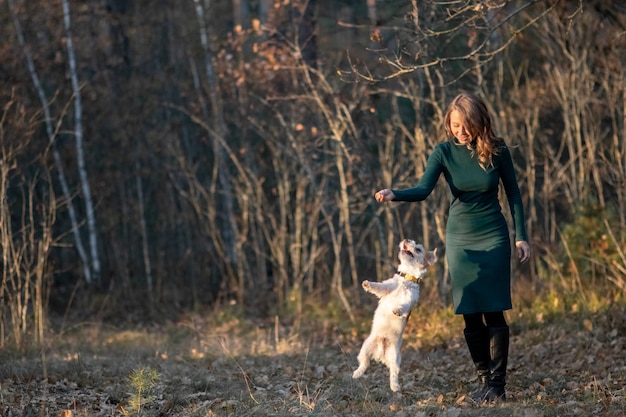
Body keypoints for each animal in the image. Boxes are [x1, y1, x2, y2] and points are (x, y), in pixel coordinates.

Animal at [354, 239, 436, 392]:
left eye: (418, 249)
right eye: (411, 241)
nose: (406, 240)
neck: (406, 279)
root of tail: (381, 352)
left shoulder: (410, 299)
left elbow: (403, 305)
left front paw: (397, 310)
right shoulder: (387, 288)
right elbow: (379, 286)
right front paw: (367, 284)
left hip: (396, 358)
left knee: (393, 373)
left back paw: (395, 387)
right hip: (365, 348)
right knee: (364, 363)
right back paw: (357, 373)